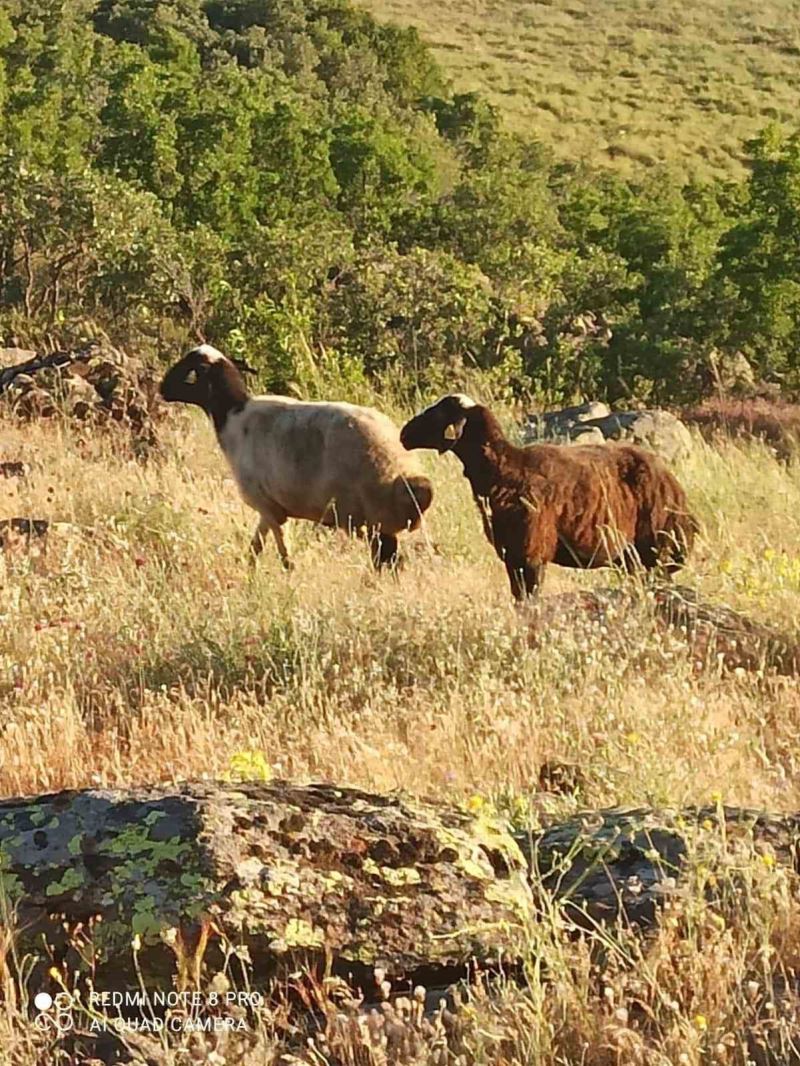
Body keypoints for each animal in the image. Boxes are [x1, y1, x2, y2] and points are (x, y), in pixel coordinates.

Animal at [403, 396, 699, 601]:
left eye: (440, 413)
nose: (405, 434)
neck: (506, 469)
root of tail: (677, 490)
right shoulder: (513, 556)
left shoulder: (532, 552)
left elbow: (530, 600)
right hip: (632, 559)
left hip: (656, 553)